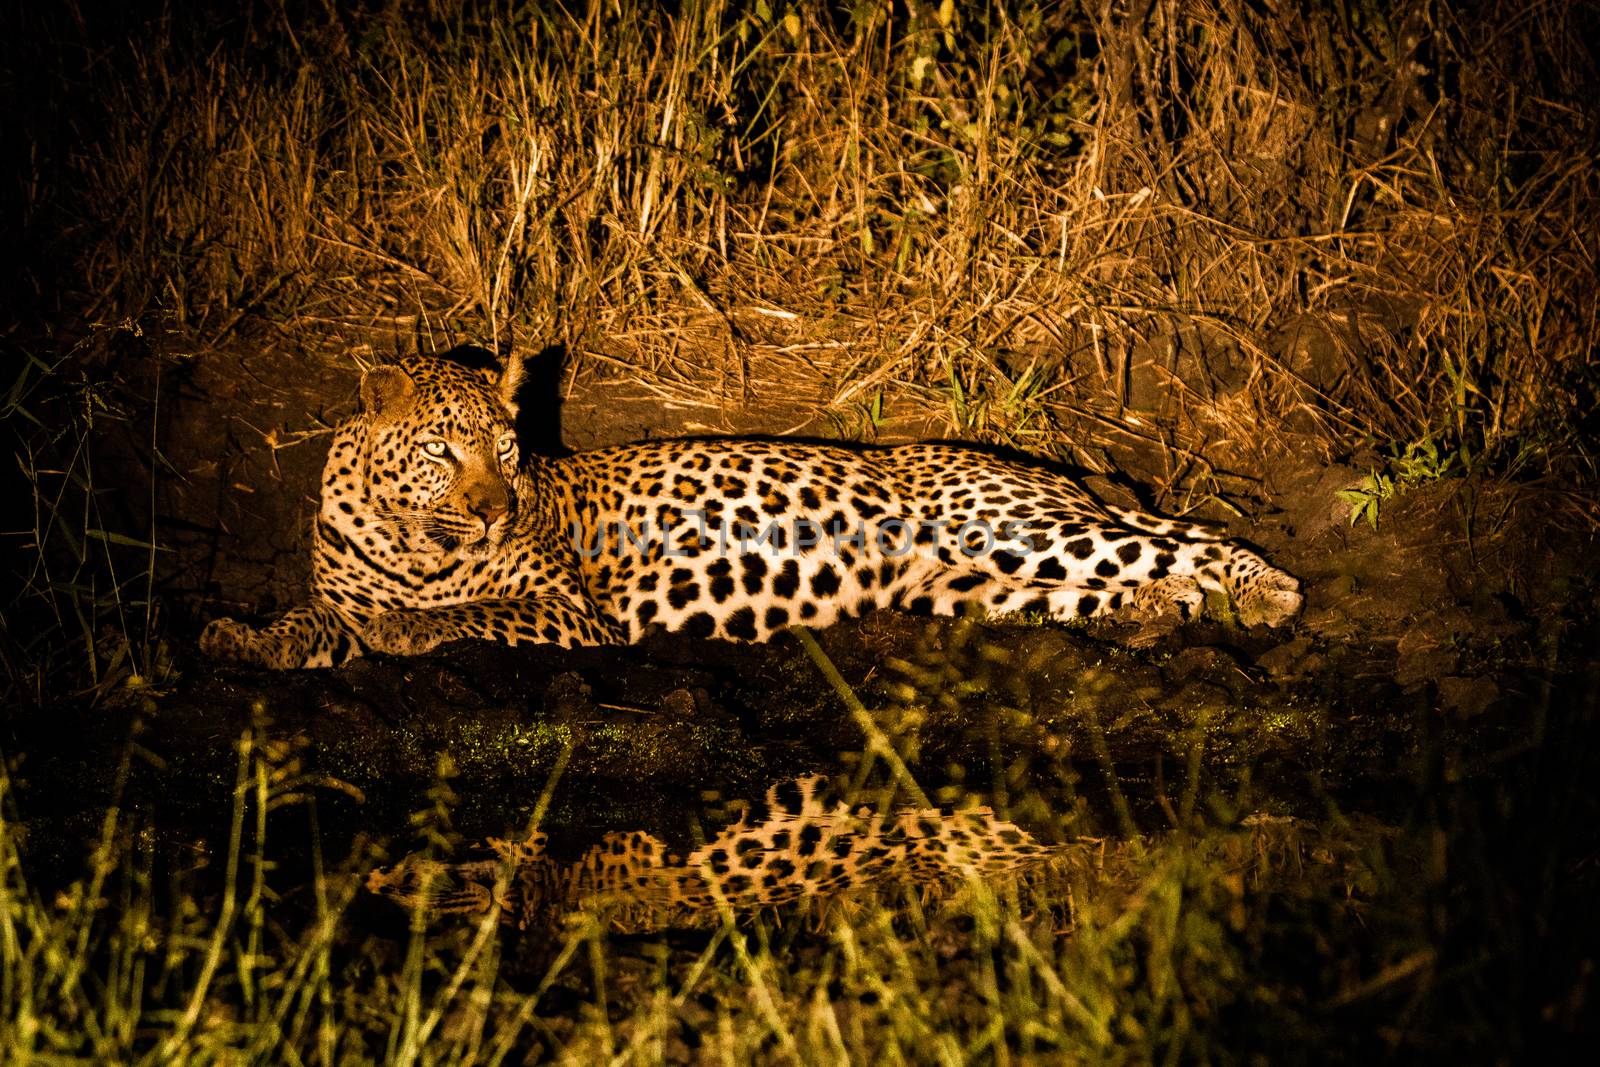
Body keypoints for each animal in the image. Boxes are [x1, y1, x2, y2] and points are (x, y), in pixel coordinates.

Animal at [200, 347, 1299, 671]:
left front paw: (398, 629)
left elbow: (472, 610)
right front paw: (238, 636)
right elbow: (310, 618)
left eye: (505, 451)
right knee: (1122, 578)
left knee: (1195, 536)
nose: (493, 512)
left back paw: (1267, 592)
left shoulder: (570, 610)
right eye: (441, 451)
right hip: (969, 581)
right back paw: (1159, 615)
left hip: (1007, 522)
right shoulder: (341, 586)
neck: (408, 539)